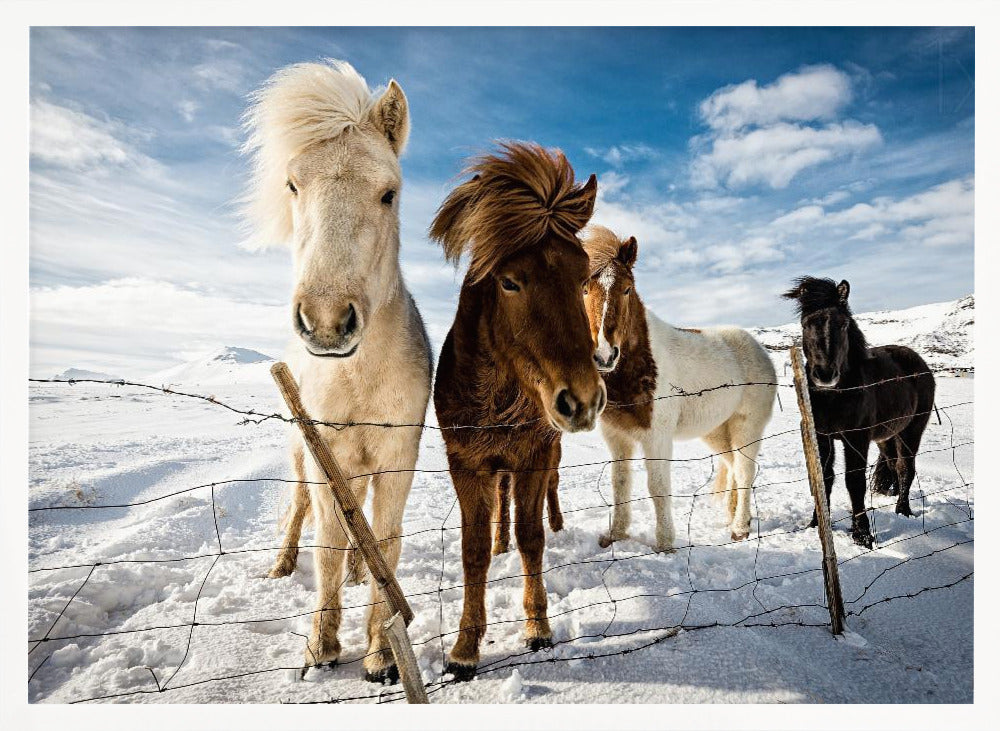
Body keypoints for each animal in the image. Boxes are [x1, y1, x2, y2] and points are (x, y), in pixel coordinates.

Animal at [241, 59, 432, 682]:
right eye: (293, 185)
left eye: (388, 193)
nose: (326, 322)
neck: (358, 378)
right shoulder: (327, 452)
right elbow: (324, 542)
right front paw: (320, 647)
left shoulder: (397, 458)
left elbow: (385, 541)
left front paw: (380, 654)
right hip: (304, 455)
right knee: (302, 510)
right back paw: (281, 567)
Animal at [429, 142, 605, 680]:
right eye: (509, 282)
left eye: (583, 277)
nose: (582, 399)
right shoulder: (466, 463)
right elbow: (472, 551)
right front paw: (464, 648)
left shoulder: (533, 455)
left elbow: (532, 538)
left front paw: (538, 627)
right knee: (501, 508)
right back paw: (499, 541)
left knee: (549, 495)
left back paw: (556, 524)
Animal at [582, 226, 776, 550]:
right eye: (584, 289)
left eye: (627, 289)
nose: (605, 355)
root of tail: (759, 348)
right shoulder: (617, 437)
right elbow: (620, 483)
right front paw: (615, 535)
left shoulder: (657, 437)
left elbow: (657, 486)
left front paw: (664, 544)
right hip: (716, 431)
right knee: (733, 468)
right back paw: (733, 517)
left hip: (746, 428)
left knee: (745, 470)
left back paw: (739, 528)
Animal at [783, 276, 936, 548]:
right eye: (805, 324)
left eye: (843, 324)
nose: (825, 374)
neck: (834, 396)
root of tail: (920, 364)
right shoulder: (821, 437)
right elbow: (824, 479)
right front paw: (816, 524)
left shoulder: (856, 437)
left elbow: (854, 481)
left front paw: (862, 535)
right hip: (887, 436)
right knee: (894, 465)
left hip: (911, 430)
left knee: (906, 468)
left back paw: (903, 511)